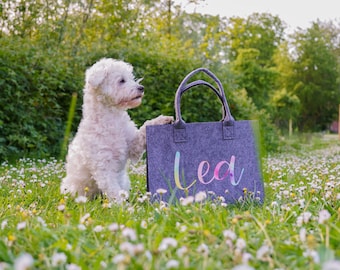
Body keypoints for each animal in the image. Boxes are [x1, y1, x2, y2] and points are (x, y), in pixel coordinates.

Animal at [60, 59, 173, 202]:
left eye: (131, 78)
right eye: (122, 80)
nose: (141, 88)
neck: (113, 118)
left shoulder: (133, 146)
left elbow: (143, 130)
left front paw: (161, 119)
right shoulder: (103, 165)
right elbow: (113, 189)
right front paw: (122, 205)